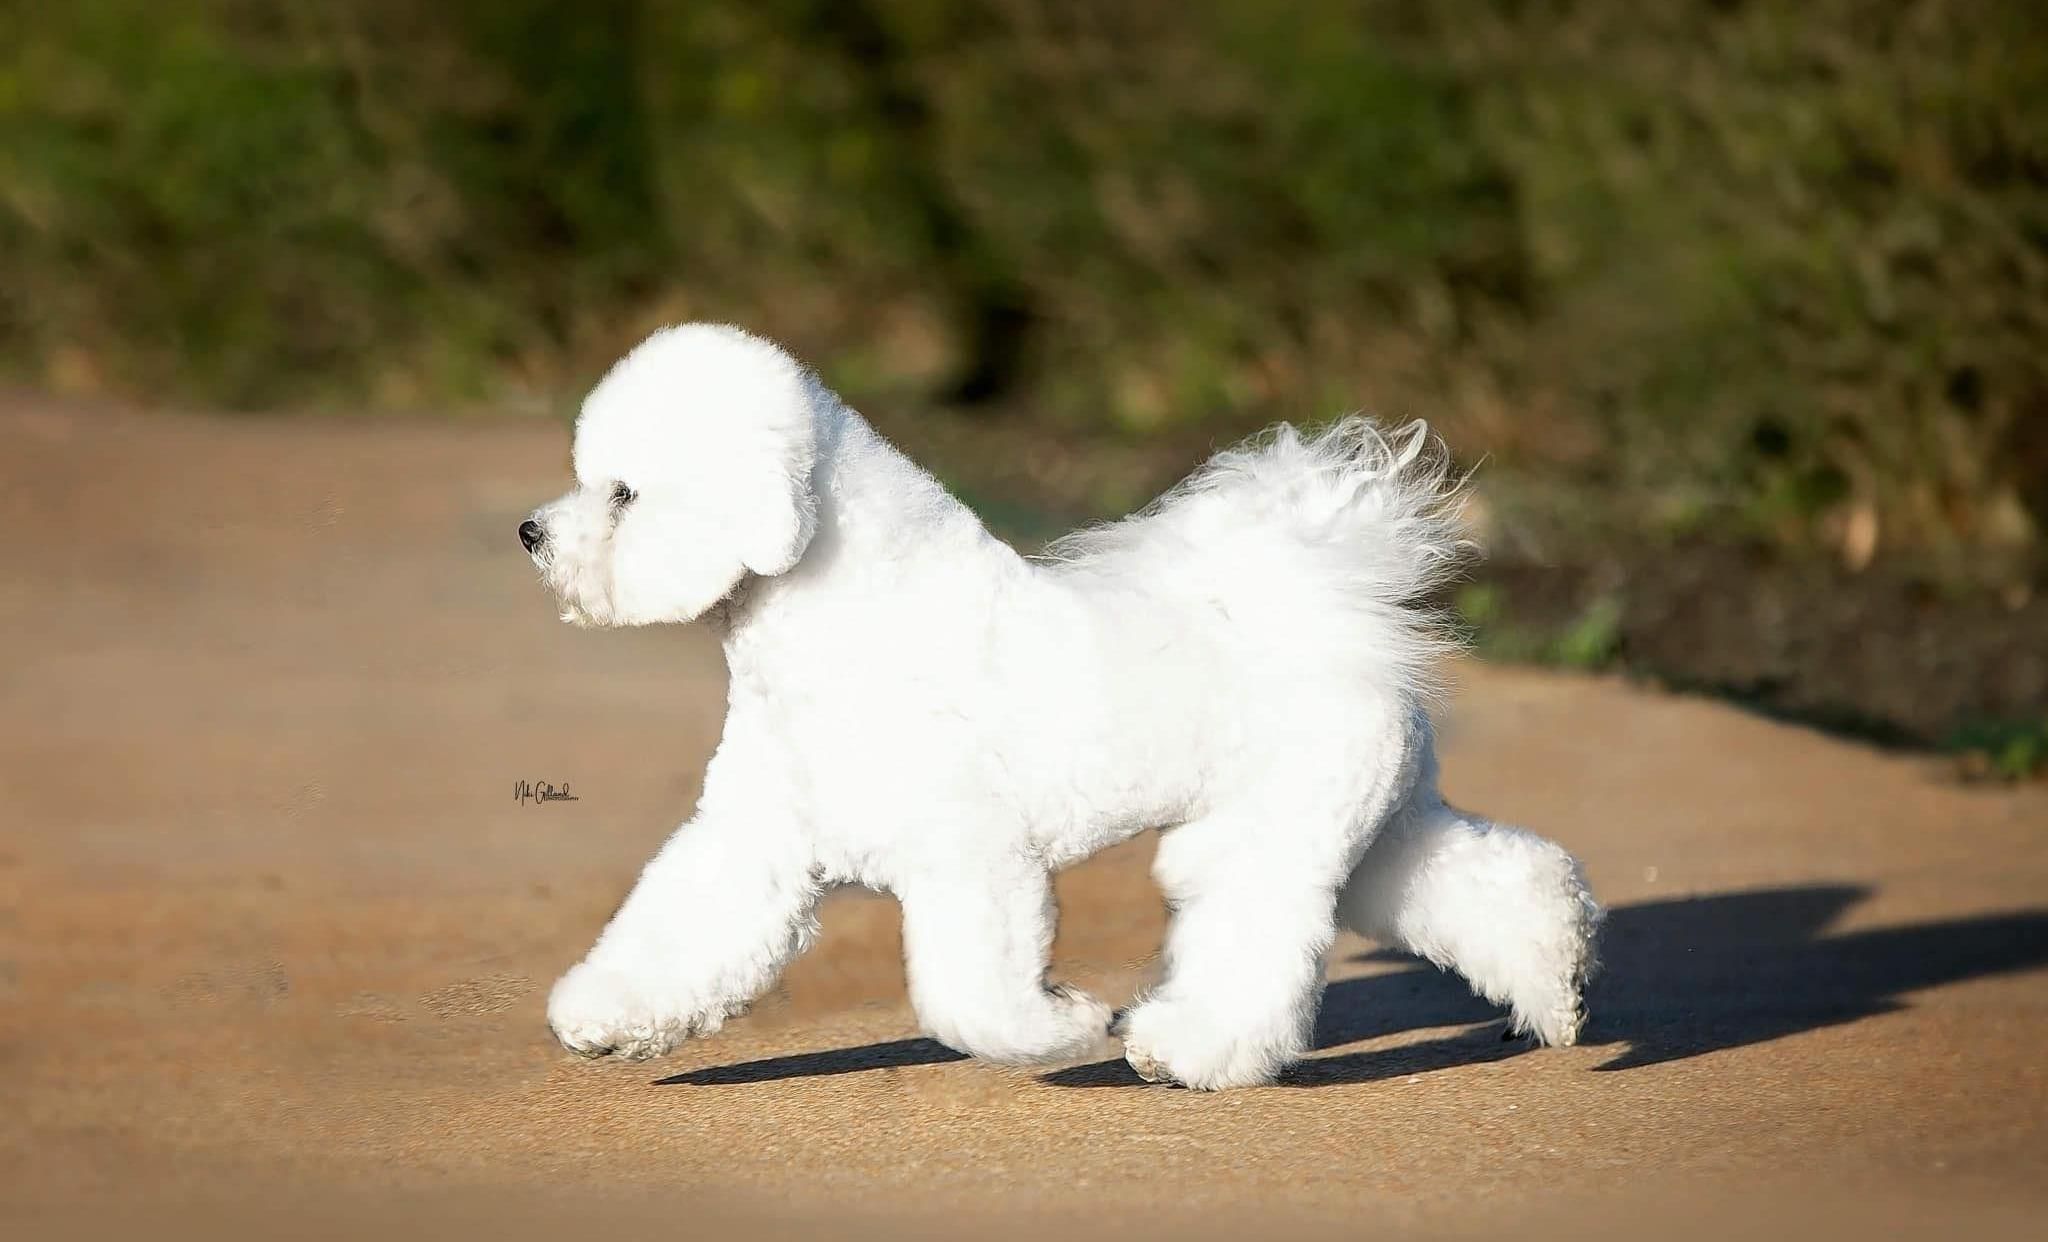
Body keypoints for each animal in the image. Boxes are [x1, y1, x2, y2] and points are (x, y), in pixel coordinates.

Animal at [516, 323, 1597, 1090]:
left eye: (624, 494)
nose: (531, 533)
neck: (856, 622)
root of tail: (1324, 607)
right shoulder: (755, 841)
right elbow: (676, 931)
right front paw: (604, 1018)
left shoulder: (971, 859)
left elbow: (971, 999)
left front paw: (1067, 1023)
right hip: (1369, 830)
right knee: (1482, 883)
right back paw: (1559, 986)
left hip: (1267, 834)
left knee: (1254, 937)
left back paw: (1181, 1049)